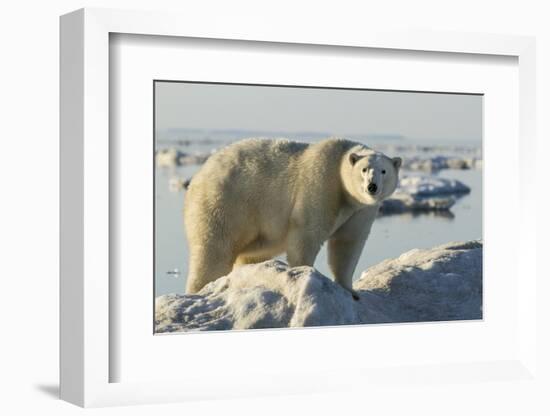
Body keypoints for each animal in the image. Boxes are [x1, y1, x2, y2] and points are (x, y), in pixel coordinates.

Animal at [183, 139, 404, 300]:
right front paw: (305, 274)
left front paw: (351, 291)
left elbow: (348, 243)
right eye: (364, 169)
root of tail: (199, 175)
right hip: (225, 202)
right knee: (214, 250)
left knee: (251, 253)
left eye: (384, 171)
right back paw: (200, 290)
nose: (372, 187)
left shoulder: (360, 210)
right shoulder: (322, 183)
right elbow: (307, 232)